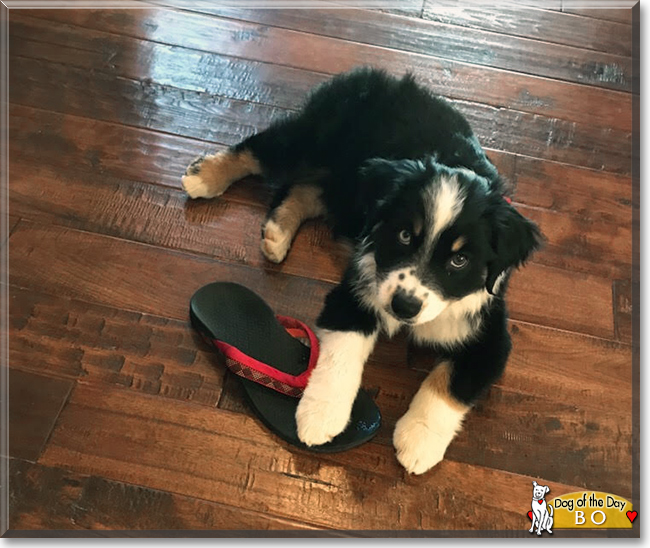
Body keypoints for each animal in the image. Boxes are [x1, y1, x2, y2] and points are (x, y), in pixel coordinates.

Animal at [180, 67, 540, 476]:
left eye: (459, 260)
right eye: (404, 235)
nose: (403, 307)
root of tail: (374, 75)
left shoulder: (490, 334)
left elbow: (449, 386)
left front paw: (418, 441)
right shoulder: (355, 290)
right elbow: (342, 355)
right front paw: (320, 416)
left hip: (347, 188)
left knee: (308, 190)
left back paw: (276, 233)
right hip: (315, 137)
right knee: (260, 150)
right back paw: (206, 177)